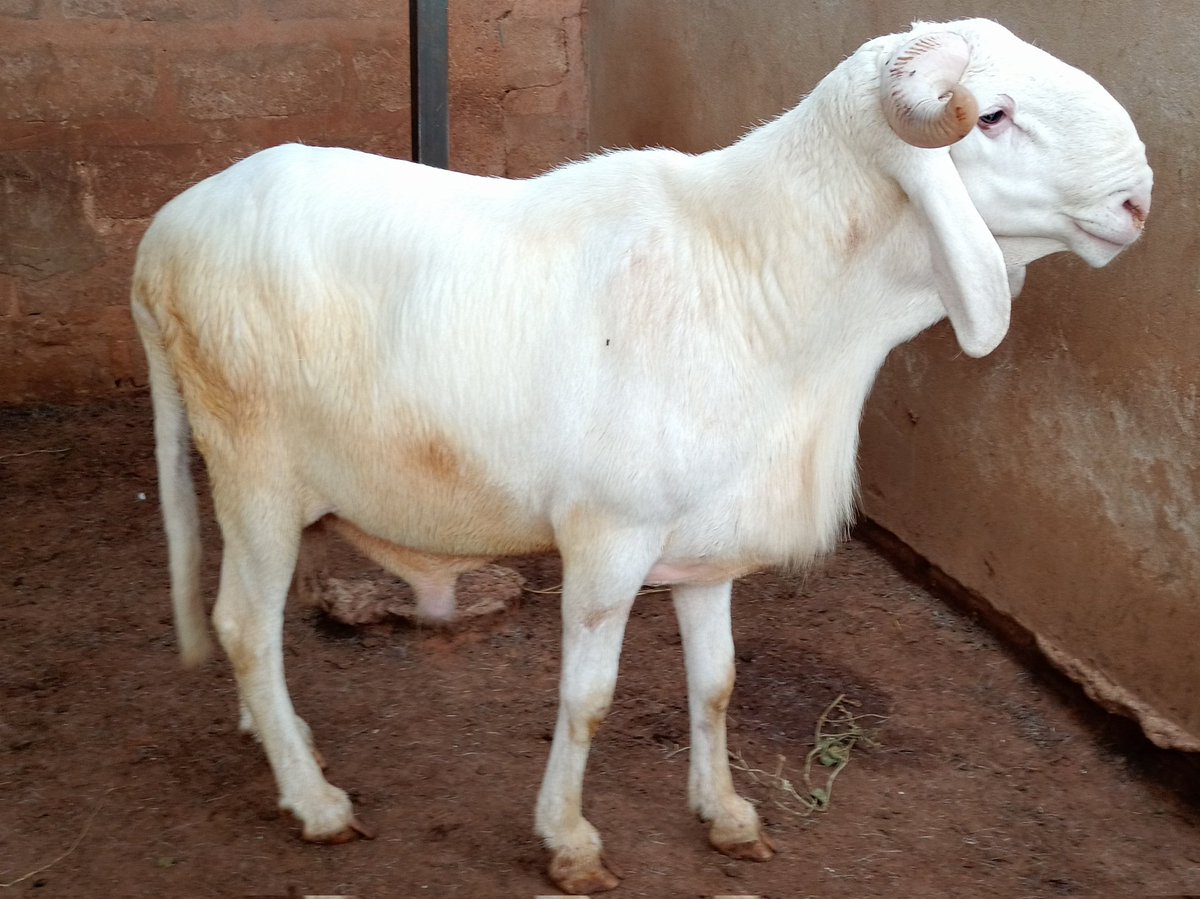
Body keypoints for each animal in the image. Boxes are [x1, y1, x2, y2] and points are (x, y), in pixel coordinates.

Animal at [131, 17, 1151, 895]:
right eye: (994, 115)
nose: (1139, 197)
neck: (762, 283)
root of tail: (159, 239)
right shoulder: (609, 536)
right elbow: (589, 697)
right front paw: (570, 841)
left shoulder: (708, 545)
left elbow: (718, 682)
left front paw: (727, 813)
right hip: (254, 469)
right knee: (243, 626)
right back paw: (314, 799)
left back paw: (283, 739)